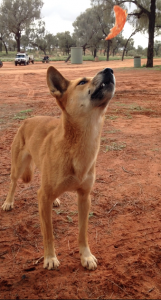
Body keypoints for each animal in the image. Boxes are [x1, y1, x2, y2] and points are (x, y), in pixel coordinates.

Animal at [1, 67, 115, 270]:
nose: (109, 70)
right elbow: (48, 234)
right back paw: (8, 202)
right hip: (17, 167)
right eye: (82, 82)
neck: (78, 146)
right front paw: (50, 258)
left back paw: (55, 200)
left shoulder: (84, 197)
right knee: (13, 183)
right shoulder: (43, 196)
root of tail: (28, 120)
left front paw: (86, 256)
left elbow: (82, 232)